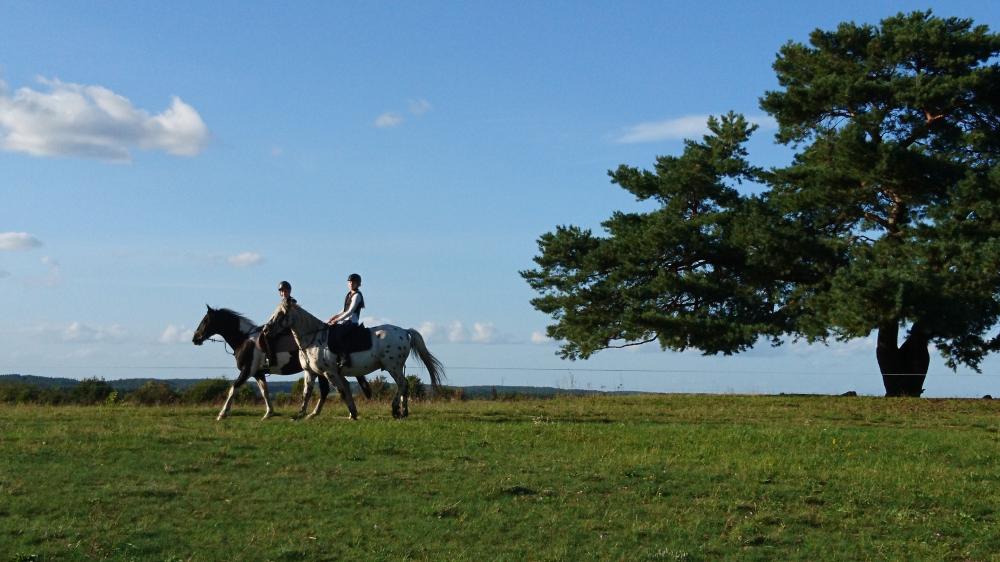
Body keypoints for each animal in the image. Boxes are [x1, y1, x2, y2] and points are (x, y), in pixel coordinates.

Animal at [191, 306, 372, 420]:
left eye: (205, 321)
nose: (195, 338)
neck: (245, 339)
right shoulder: (258, 373)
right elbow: (264, 391)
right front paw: (269, 413)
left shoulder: (247, 370)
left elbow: (233, 388)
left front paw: (222, 414)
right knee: (325, 391)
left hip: (322, 370)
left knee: (325, 390)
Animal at [264, 296, 444, 418]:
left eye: (281, 314)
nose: (265, 330)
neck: (313, 338)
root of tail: (404, 331)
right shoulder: (311, 372)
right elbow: (307, 393)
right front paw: (300, 414)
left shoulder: (330, 372)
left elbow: (341, 392)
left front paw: (352, 413)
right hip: (396, 367)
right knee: (403, 386)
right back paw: (402, 411)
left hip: (393, 366)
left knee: (403, 384)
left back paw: (397, 410)